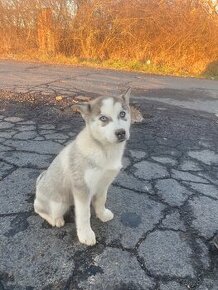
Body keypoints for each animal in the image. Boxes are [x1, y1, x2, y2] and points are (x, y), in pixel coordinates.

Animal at [34, 88, 131, 245]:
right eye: (103, 118)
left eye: (122, 114)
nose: (121, 132)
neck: (104, 151)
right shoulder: (82, 189)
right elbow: (84, 214)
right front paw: (86, 235)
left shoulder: (103, 184)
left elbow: (101, 201)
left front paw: (102, 214)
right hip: (59, 203)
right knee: (39, 208)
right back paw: (56, 220)